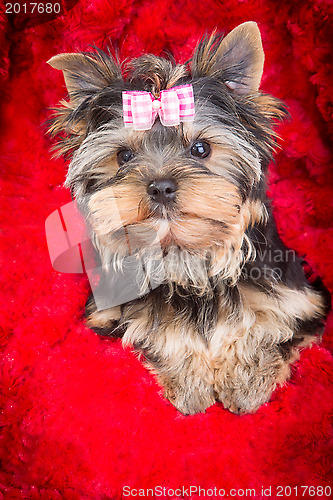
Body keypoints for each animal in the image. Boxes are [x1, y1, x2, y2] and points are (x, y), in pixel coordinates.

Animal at [48, 22, 328, 414]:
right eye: (123, 156)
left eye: (201, 148)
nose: (161, 186)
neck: (185, 253)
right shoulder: (114, 313)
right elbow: (156, 329)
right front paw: (190, 383)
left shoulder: (301, 300)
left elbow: (269, 326)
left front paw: (247, 381)